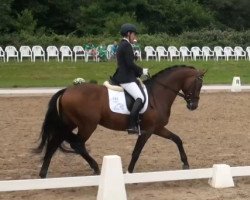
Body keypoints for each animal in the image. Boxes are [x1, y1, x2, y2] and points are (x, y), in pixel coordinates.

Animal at [36, 65, 206, 177]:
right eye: (198, 84)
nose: (193, 106)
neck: (158, 95)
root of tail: (66, 91)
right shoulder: (148, 130)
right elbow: (137, 151)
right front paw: (129, 172)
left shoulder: (157, 128)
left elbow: (177, 139)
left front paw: (185, 163)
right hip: (87, 125)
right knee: (76, 144)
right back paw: (96, 168)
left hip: (69, 124)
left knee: (55, 142)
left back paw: (43, 173)